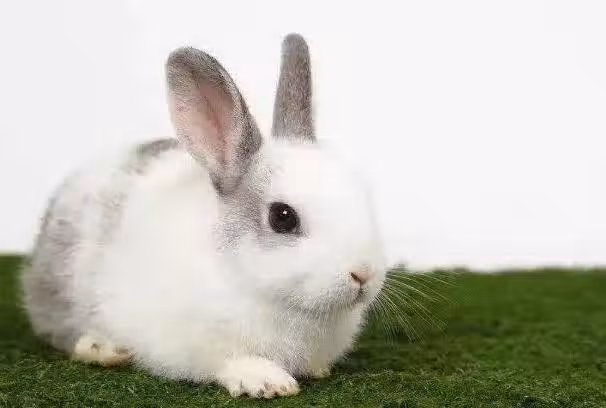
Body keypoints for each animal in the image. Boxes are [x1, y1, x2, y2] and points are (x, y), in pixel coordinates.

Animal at [20, 33, 386, 398]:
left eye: (363, 195)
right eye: (283, 217)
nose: (363, 274)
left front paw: (317, 369)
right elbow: (229, 361)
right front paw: (266, 381)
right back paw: (103, 348)